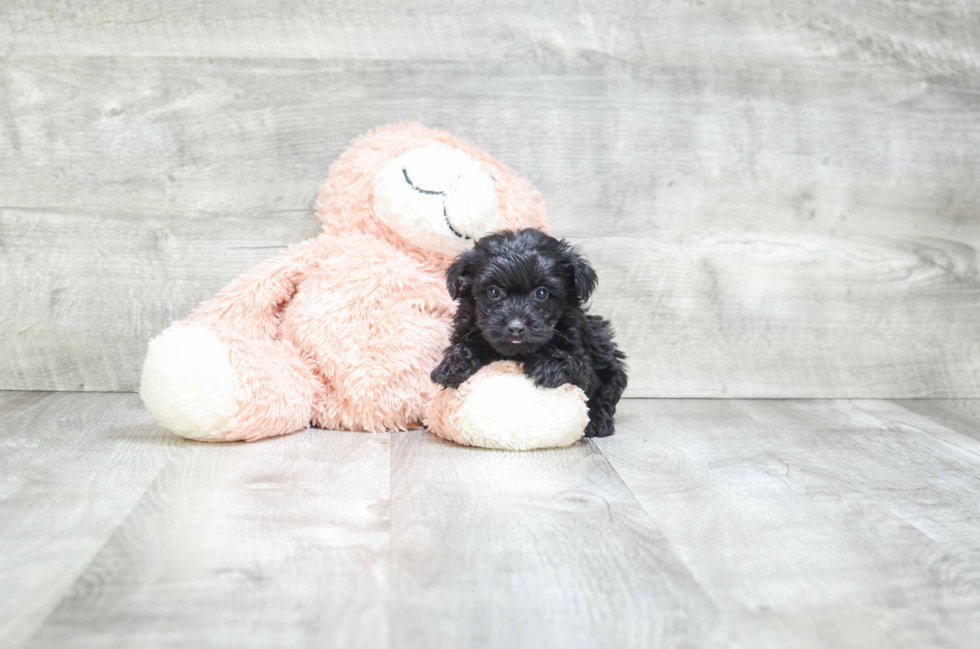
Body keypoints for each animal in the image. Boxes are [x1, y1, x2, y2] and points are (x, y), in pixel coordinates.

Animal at [432, 230, 632, 438]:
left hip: (607, 355)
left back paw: (598, 422)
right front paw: (453, 366)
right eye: (494, 292)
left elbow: (572, 361)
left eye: (541, 293)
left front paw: (550, 366)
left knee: (607, 392)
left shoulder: (582, 360)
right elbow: (467, 345)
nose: (516, 327)